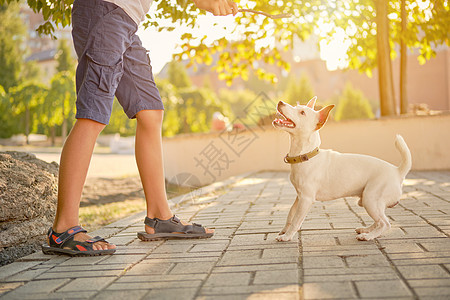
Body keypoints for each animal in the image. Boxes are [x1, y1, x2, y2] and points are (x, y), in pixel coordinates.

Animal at [272, 97, 414, 243]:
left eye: (302, 112)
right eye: (296, 107)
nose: (280, 102)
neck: (306, 155)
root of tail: (397, 171)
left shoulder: (306, 199)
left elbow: (296, 220)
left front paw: (287, 236)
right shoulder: (299, 197)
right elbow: (290, 214)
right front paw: (284, 230)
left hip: (371, 199)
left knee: (385, 223)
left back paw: (367, 236)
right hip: (368, 202)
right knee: (379, 221)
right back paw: (366, 230)